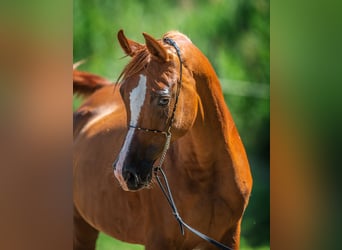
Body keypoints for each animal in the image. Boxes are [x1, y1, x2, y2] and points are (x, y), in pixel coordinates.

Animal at [73, 29, 252, 250]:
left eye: (164, 99)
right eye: (123, 93)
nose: (124, 173)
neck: (207, 174)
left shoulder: (229, 236)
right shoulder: (159, 240)